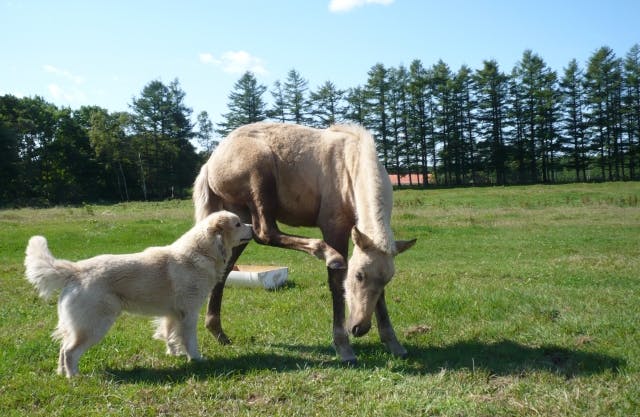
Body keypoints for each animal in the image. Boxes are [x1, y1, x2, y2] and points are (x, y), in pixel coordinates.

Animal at [24, 211, 252, 377]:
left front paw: (174, 354)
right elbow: (189, 339)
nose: (253, 227)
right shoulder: (189, 312)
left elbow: (169, 335)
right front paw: (196, 359)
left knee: (63, 349)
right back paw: (75, 378)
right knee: (70, 352)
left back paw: (62, 374)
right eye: (238, 223)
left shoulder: (172, 313)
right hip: (94, 325)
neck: (202, 251)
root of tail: (75, 270)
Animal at [193, 122, 416, 363]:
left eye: (387, 280)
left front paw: (393, 343)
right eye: (358, 276)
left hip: (239, 219)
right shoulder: (334, 228)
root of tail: (210, 162)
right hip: (259, 178)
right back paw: (325, 253)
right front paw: (343, 347)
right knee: (265, 232)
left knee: (225, 267)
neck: (350, 163)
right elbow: (337, 283)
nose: (360, 328)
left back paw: (217, 332)